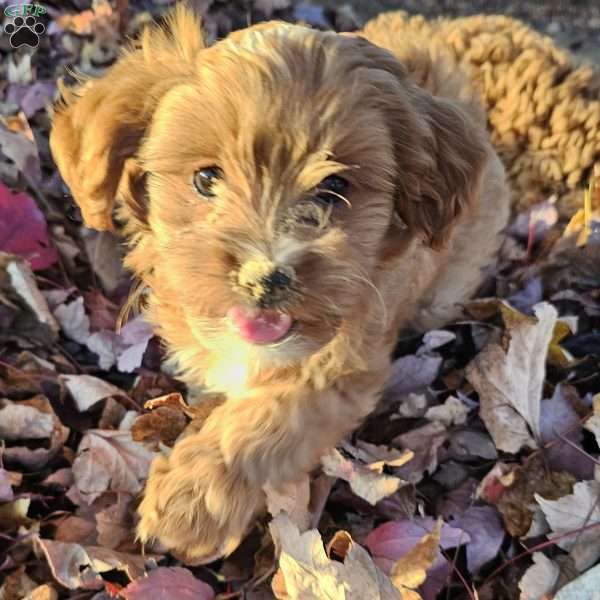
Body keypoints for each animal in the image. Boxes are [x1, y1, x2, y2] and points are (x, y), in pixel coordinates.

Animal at [52, 4, 510, 560]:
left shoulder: (340, 368)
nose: (265, 276)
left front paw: (191, 502)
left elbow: (271, 417)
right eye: (205, 179)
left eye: (335, 187)